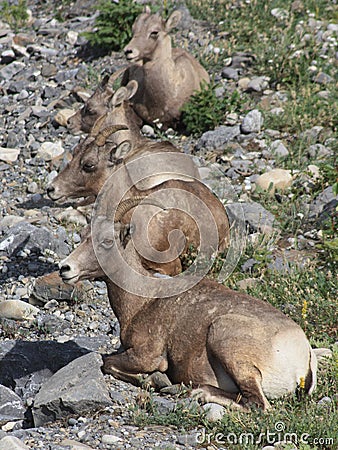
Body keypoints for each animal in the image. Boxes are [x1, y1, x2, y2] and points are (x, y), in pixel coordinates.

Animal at [60, 198, 316, 412]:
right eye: (82, 234)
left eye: (106, 242)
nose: (65, 268)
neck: (144, 300)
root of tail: (303, 359)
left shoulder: (147, 356)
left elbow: (107, 363)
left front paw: (155, 380)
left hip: (226, 340)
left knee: (258, 404)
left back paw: (198, 393)